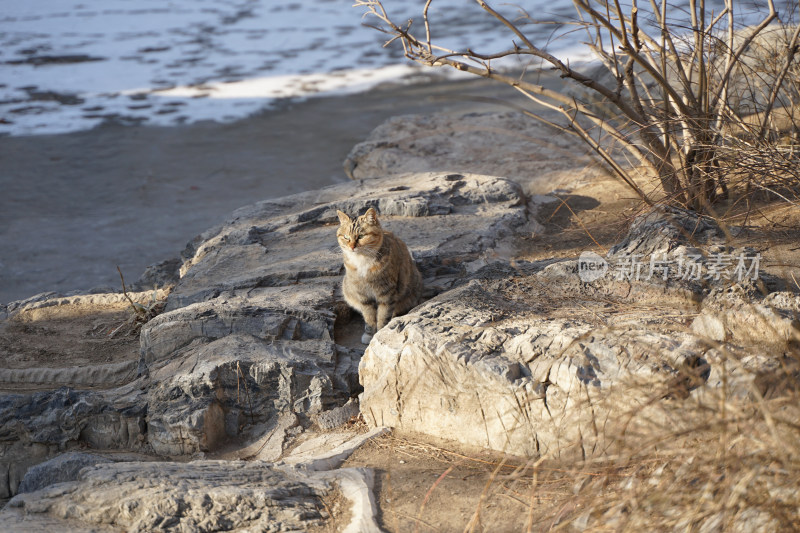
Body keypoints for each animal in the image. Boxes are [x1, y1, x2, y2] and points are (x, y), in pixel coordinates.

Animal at [338, 206, 424, 342]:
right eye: (346, 237)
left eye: (361, 236)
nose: (352, 247)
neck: (362, 260)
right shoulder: (363, 295)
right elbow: (369, 317)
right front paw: (369, 334)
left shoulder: (386, 293)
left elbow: (383, 316)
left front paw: (379, 333)